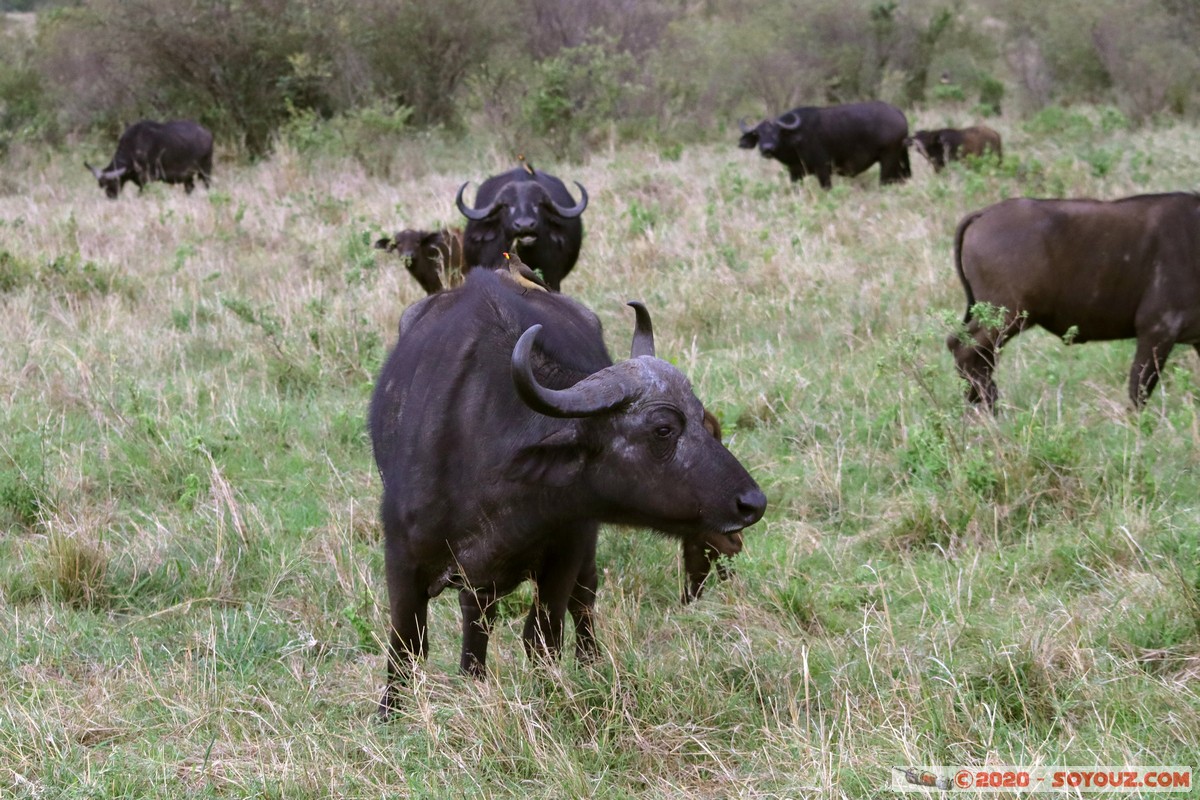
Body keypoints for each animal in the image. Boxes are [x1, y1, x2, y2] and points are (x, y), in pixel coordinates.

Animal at [84, 119, 213, 199]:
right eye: (101, 184)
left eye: (114, 182)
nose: (110, 196)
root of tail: (208, 134)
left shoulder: (146, 180)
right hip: (188, 177)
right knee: (190, 187)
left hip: (205, 170)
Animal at [369, 268, 763, 714]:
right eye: (663, 429)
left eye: (700, 417)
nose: (751, 503)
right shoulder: (402, 559)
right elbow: (406, 645)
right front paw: (389, 715)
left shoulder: (566, 552)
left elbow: (542, 636)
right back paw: (473, 675)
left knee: (581, 598)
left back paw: (586, 662)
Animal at [734, 99, 912, 187]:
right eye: (758, 134)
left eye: (777, 132)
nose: (767, 149)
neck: (796, 140)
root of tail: (897, 113)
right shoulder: (795, 172)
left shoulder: (823, 168)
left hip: (888, 159)